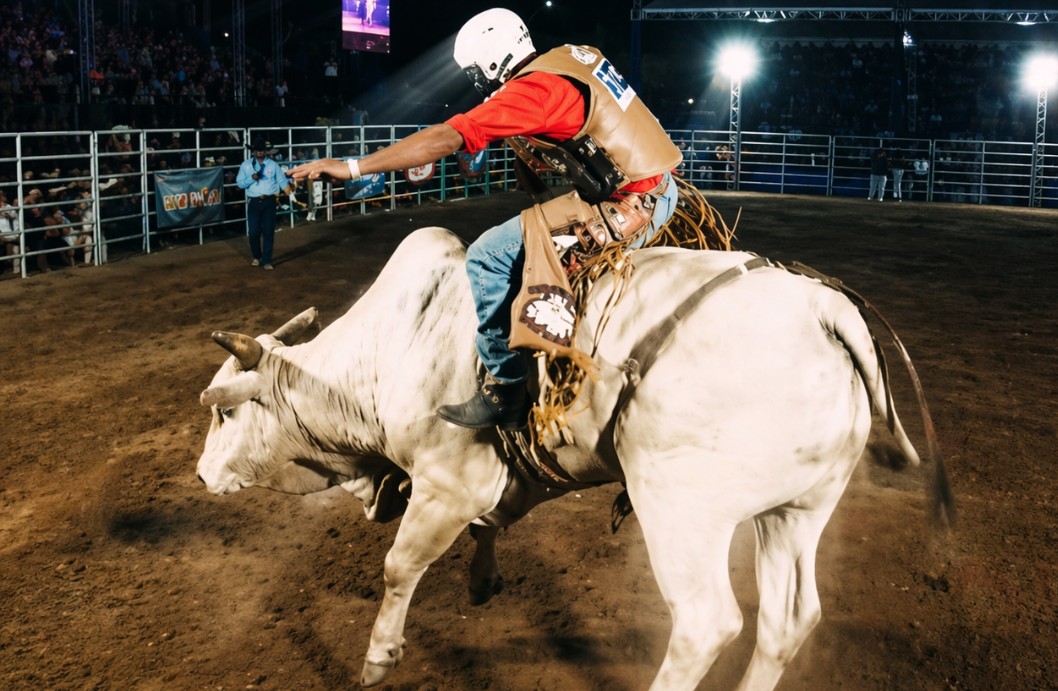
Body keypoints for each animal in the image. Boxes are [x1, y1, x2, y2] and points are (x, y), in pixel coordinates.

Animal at [196, 226, 952, 690]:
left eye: (225, 410)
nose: (203, 474)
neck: (397, 343)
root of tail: (824, 308)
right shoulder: (511, 475)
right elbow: (492, 522)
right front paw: (482, 579)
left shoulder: (445, 482)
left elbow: (400, 566)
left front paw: (379, 657)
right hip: (795, 510)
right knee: (786, 620)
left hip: (681, 511)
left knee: (706, 622)